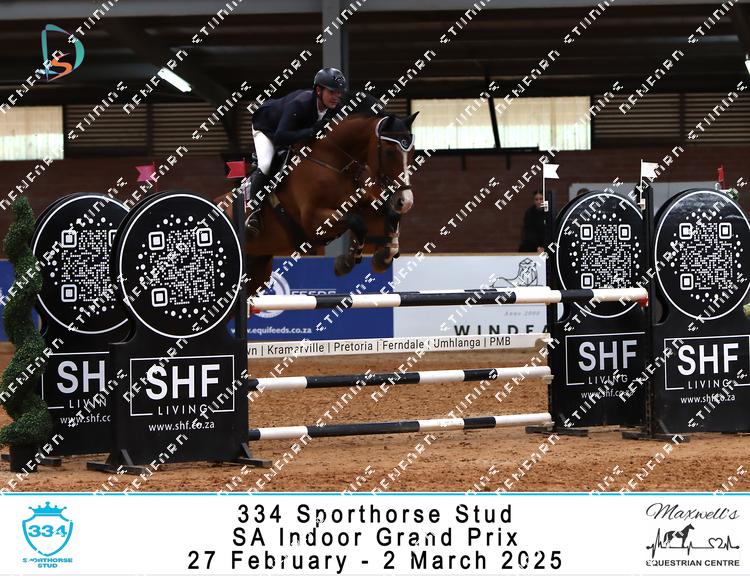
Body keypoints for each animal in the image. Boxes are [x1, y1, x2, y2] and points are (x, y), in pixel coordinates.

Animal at [221, 94, 419, 296]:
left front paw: (384, 257)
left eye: (412, 152)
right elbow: (357, 223)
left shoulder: (363, 203)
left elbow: (388, 216)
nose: (406, 201)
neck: (335, 163)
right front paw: (346, 262)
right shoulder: (313, 220)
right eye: (389, 152)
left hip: (257, 269)